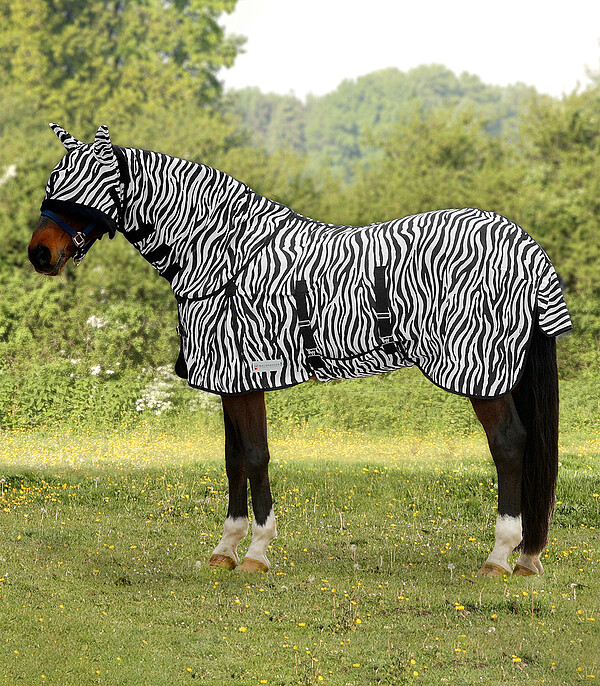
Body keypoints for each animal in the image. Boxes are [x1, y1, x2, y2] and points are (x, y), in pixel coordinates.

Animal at [29, 124, 571, 576]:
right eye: (55, 177)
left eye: (90, 183)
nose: (40, 253)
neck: (225, 253)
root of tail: (526, 247)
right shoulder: (230, 383)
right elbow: (233, 458)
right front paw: (225, 549)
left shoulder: (244, 379)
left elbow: (255, 456)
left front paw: (256, 552)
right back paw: (526, 557)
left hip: (483, 374)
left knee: (509, 445)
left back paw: (500, 556)